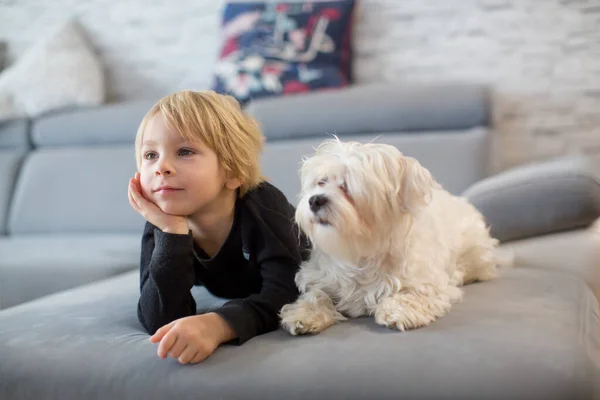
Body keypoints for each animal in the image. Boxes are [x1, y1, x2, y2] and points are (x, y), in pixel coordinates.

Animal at [278, 138, 500, 334]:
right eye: (320, 183)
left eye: (347, 186)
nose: (315, 200)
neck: (359, 251)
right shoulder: (321, 277)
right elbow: (316, 294)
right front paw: (304, 314)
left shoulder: (427, 281)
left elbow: (416, 293)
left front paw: (399, 310)